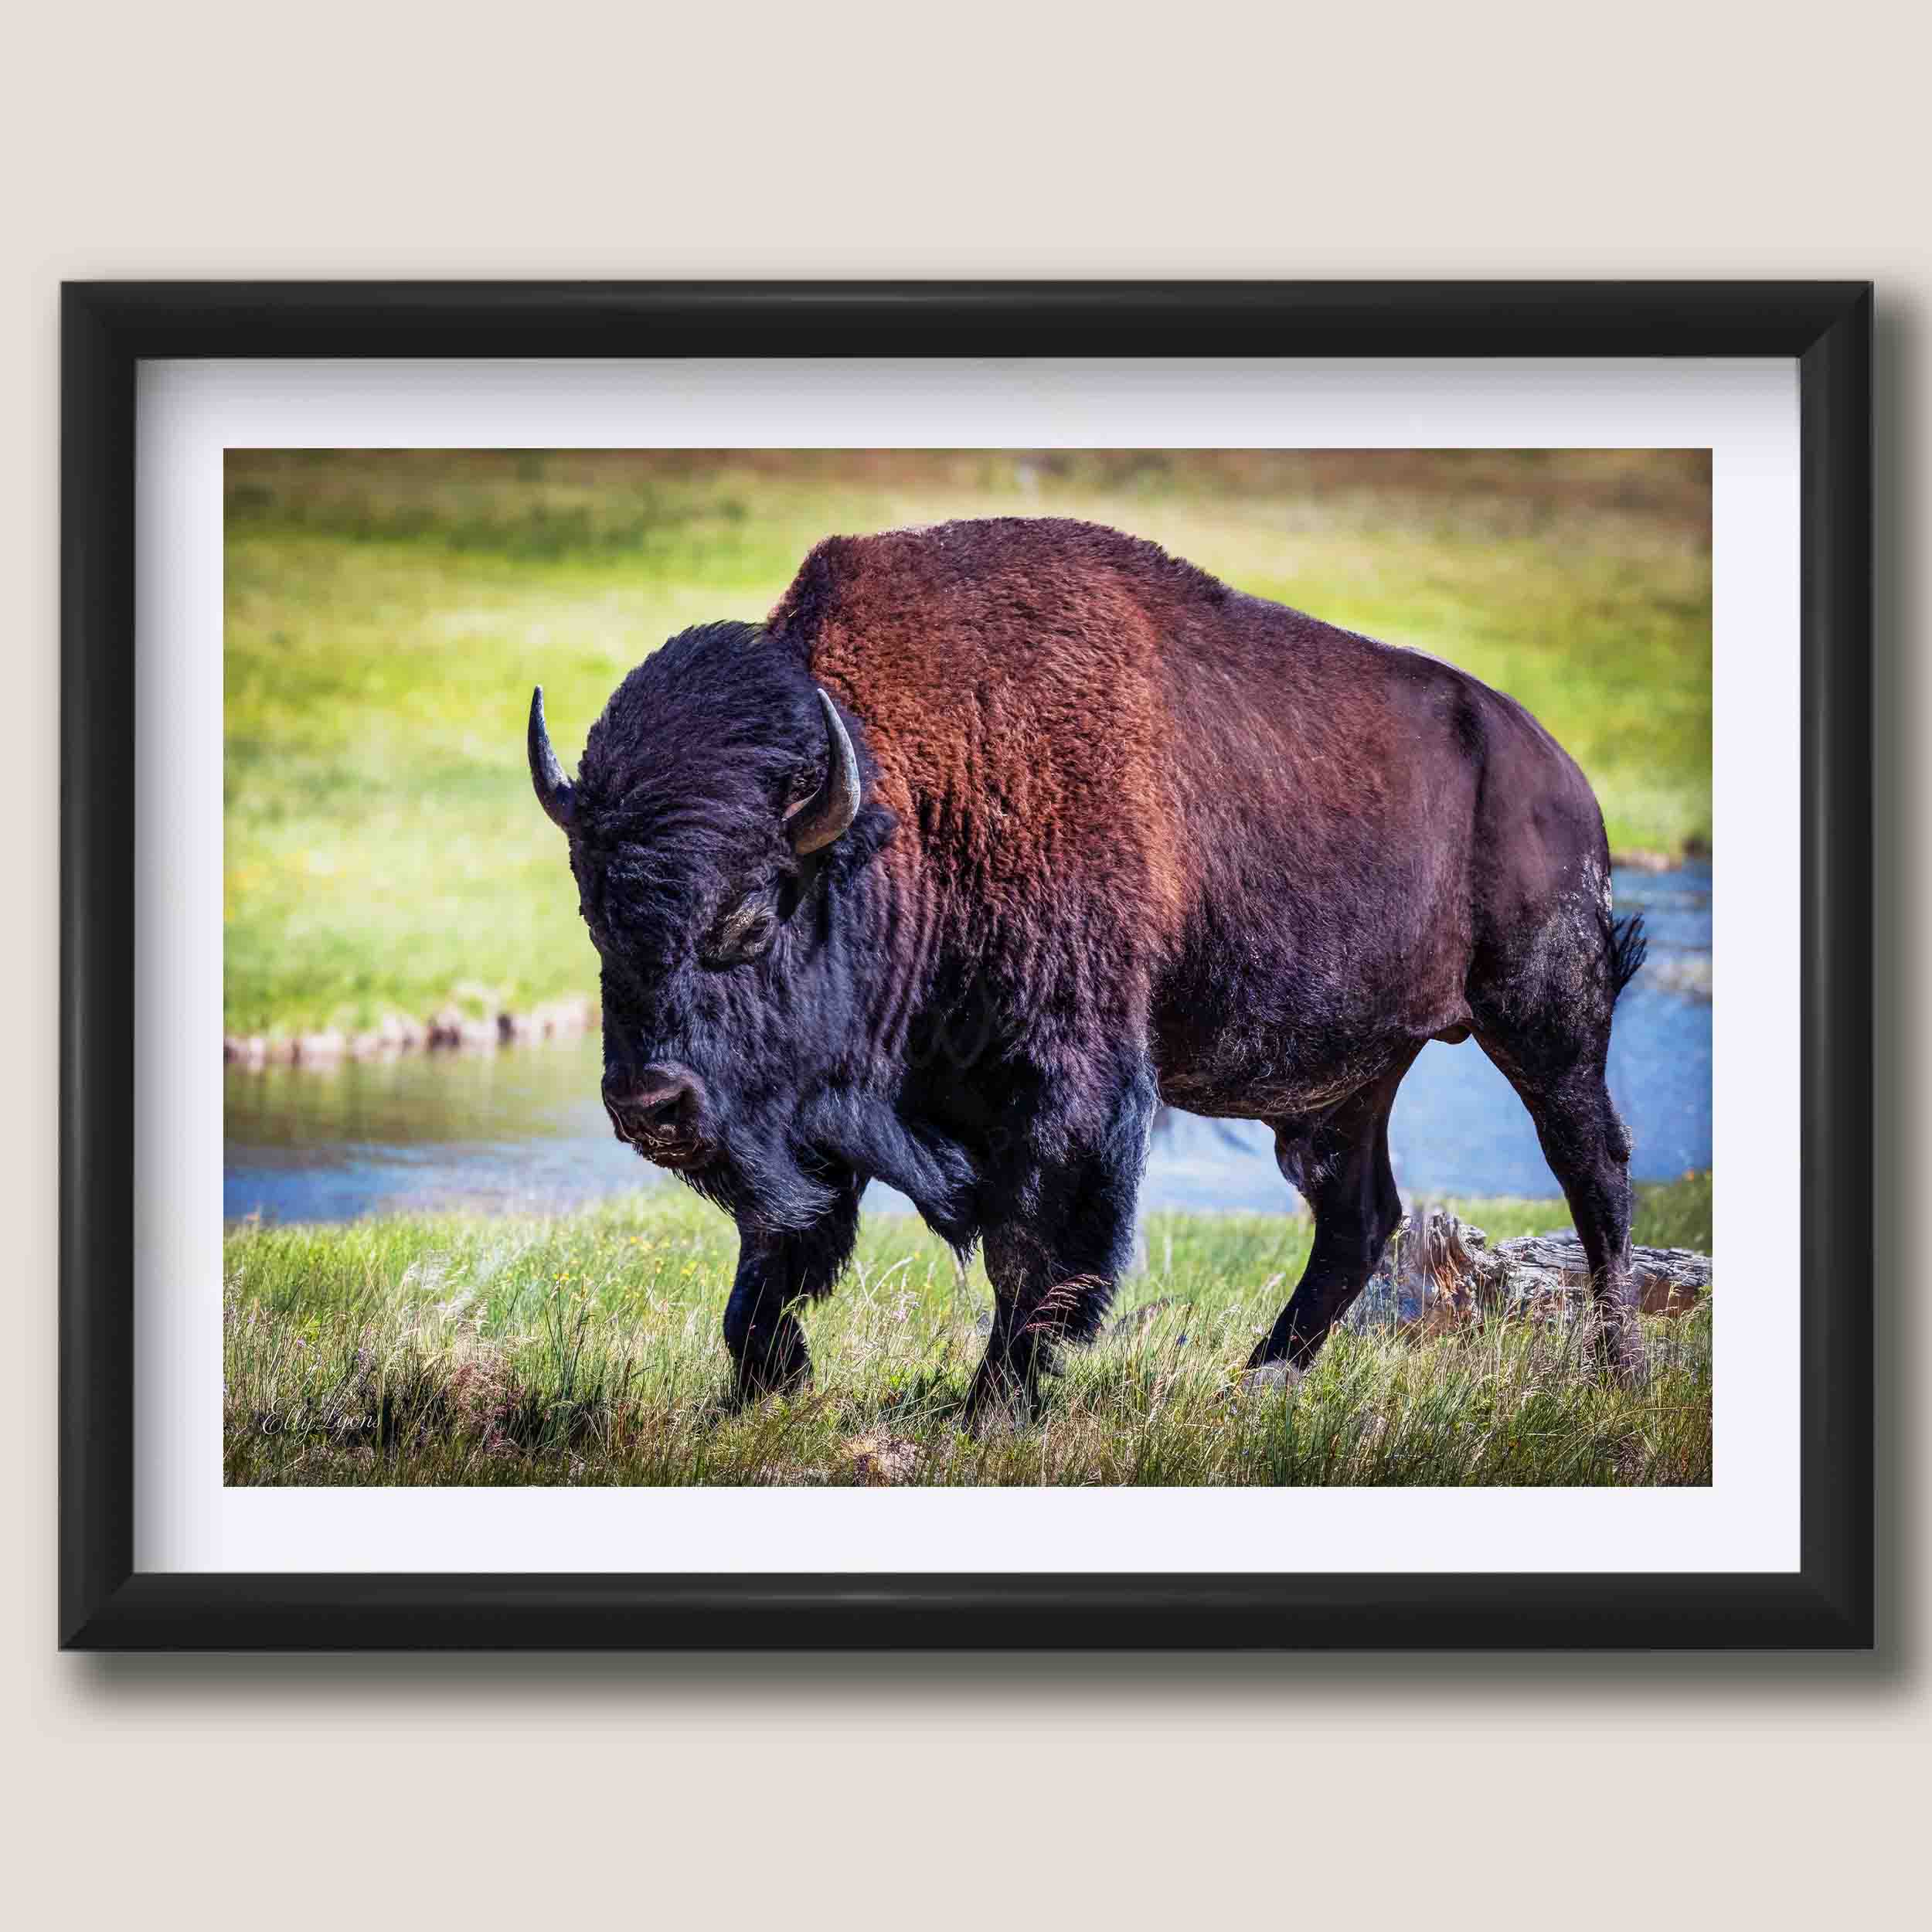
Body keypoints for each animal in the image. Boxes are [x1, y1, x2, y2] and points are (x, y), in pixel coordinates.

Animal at [528, 517, 1646, 1420]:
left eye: (753, 914)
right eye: (596, 914)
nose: (648, 1103)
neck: (908, 804)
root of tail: (1560, 774)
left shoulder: (1067, 1088)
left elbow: (1035, 1251)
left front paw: (992, 1409)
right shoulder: (821, 1108)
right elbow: (778, 1255)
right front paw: (770, 1383)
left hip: (1544, 1019)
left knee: (1591, 1168)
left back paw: (1618, 1372)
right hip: (1346, 1083)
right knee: (1358, 1215)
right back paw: (1258, 1381)